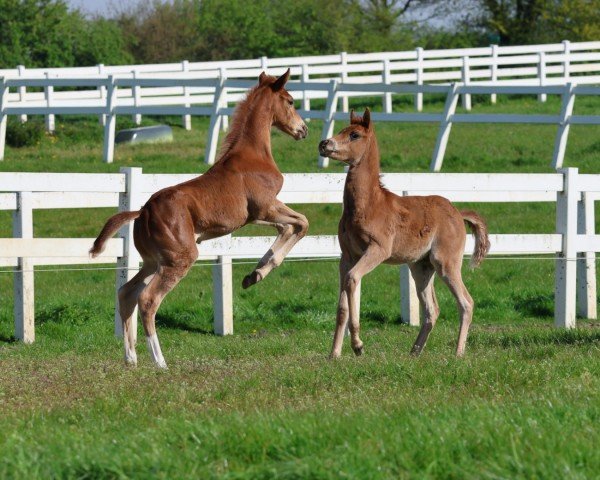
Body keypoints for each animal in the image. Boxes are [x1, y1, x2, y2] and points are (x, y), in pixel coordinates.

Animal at [92, 69, 314, 368]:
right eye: (290, 101)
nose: (303, 130)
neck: (252, 155)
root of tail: (143, 210)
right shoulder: (264, 208)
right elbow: (301, 222)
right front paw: (256, 274)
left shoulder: (258, 217)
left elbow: (289, 227)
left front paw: (253, 274)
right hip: (179, 258)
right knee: (148, 300)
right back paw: (160, 361)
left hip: (154, 260)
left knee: (127, 293)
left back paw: (131, 358)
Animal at [316, 108, 490, 356]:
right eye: (341, 130)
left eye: (354, 135)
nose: (324, 144)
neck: (368, 206)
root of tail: (458, 212)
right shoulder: (347, 256)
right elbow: (343, 306)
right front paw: (334, 355)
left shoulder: (378, 250)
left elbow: (352, 279)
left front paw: (358, 345)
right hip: (421, 267)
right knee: (432, 309)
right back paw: (414, 352)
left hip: (445, 262)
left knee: (466, 302)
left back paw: (458, 353)